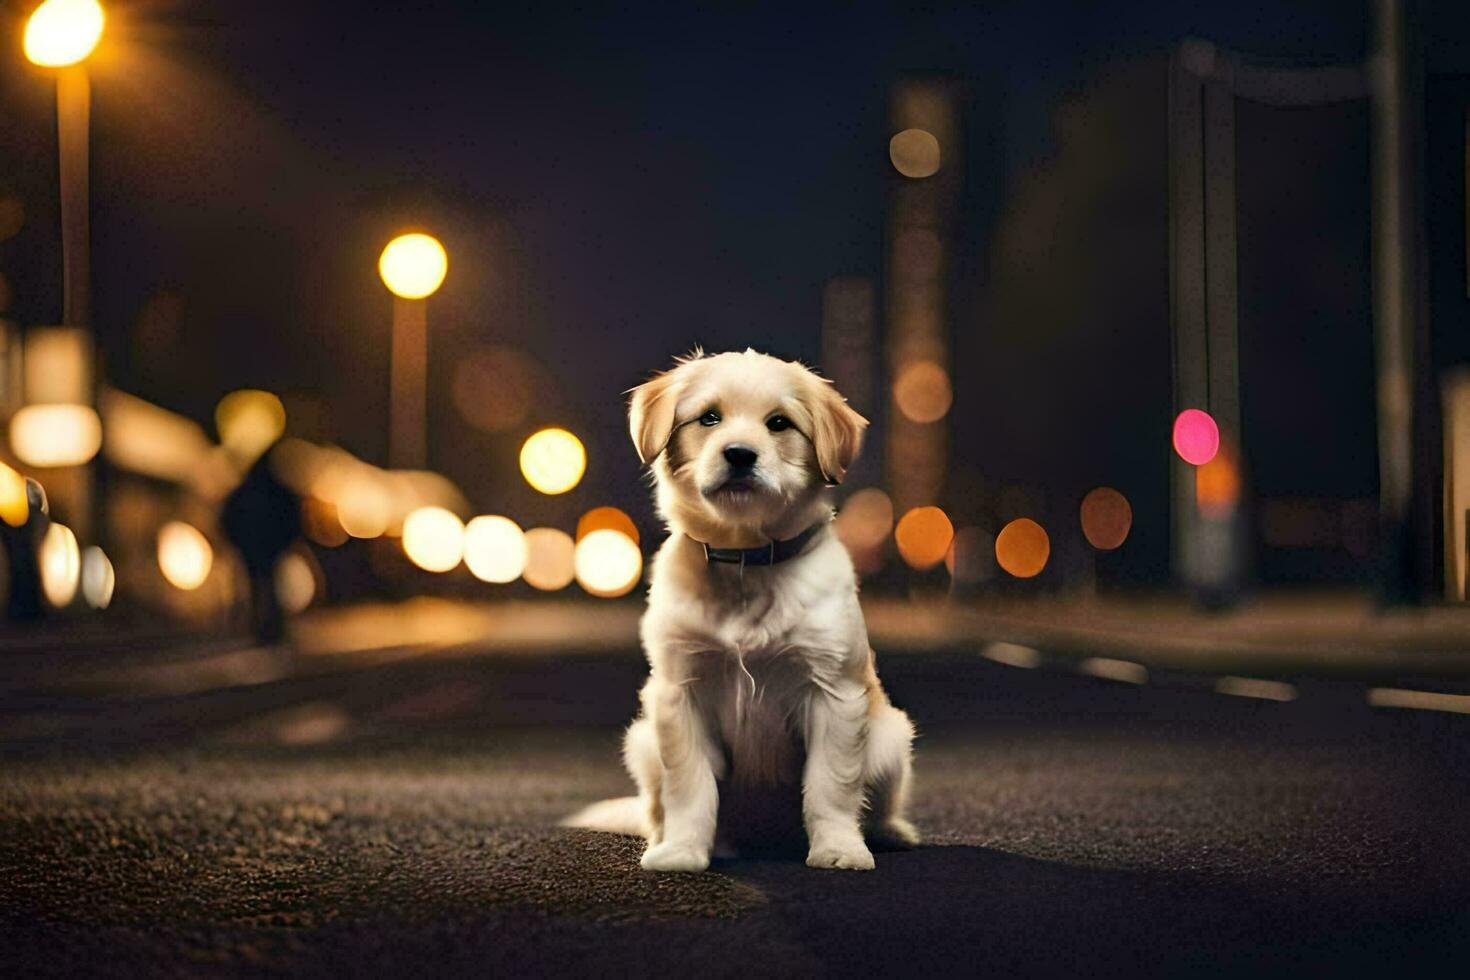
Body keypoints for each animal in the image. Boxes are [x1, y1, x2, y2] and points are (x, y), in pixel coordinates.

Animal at [564, 348, 917, 869]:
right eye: (709, 418)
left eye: (779, 423)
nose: (739, 454)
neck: (746, 558)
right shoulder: (678, 693)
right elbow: (689, 786)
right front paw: (684, 851)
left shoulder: (835, 693)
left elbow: (831, 786)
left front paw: (838, 849)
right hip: (642, 740)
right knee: (655, 807)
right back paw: (667, 839)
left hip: (891, 733)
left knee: (879, 802)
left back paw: (891, 832)